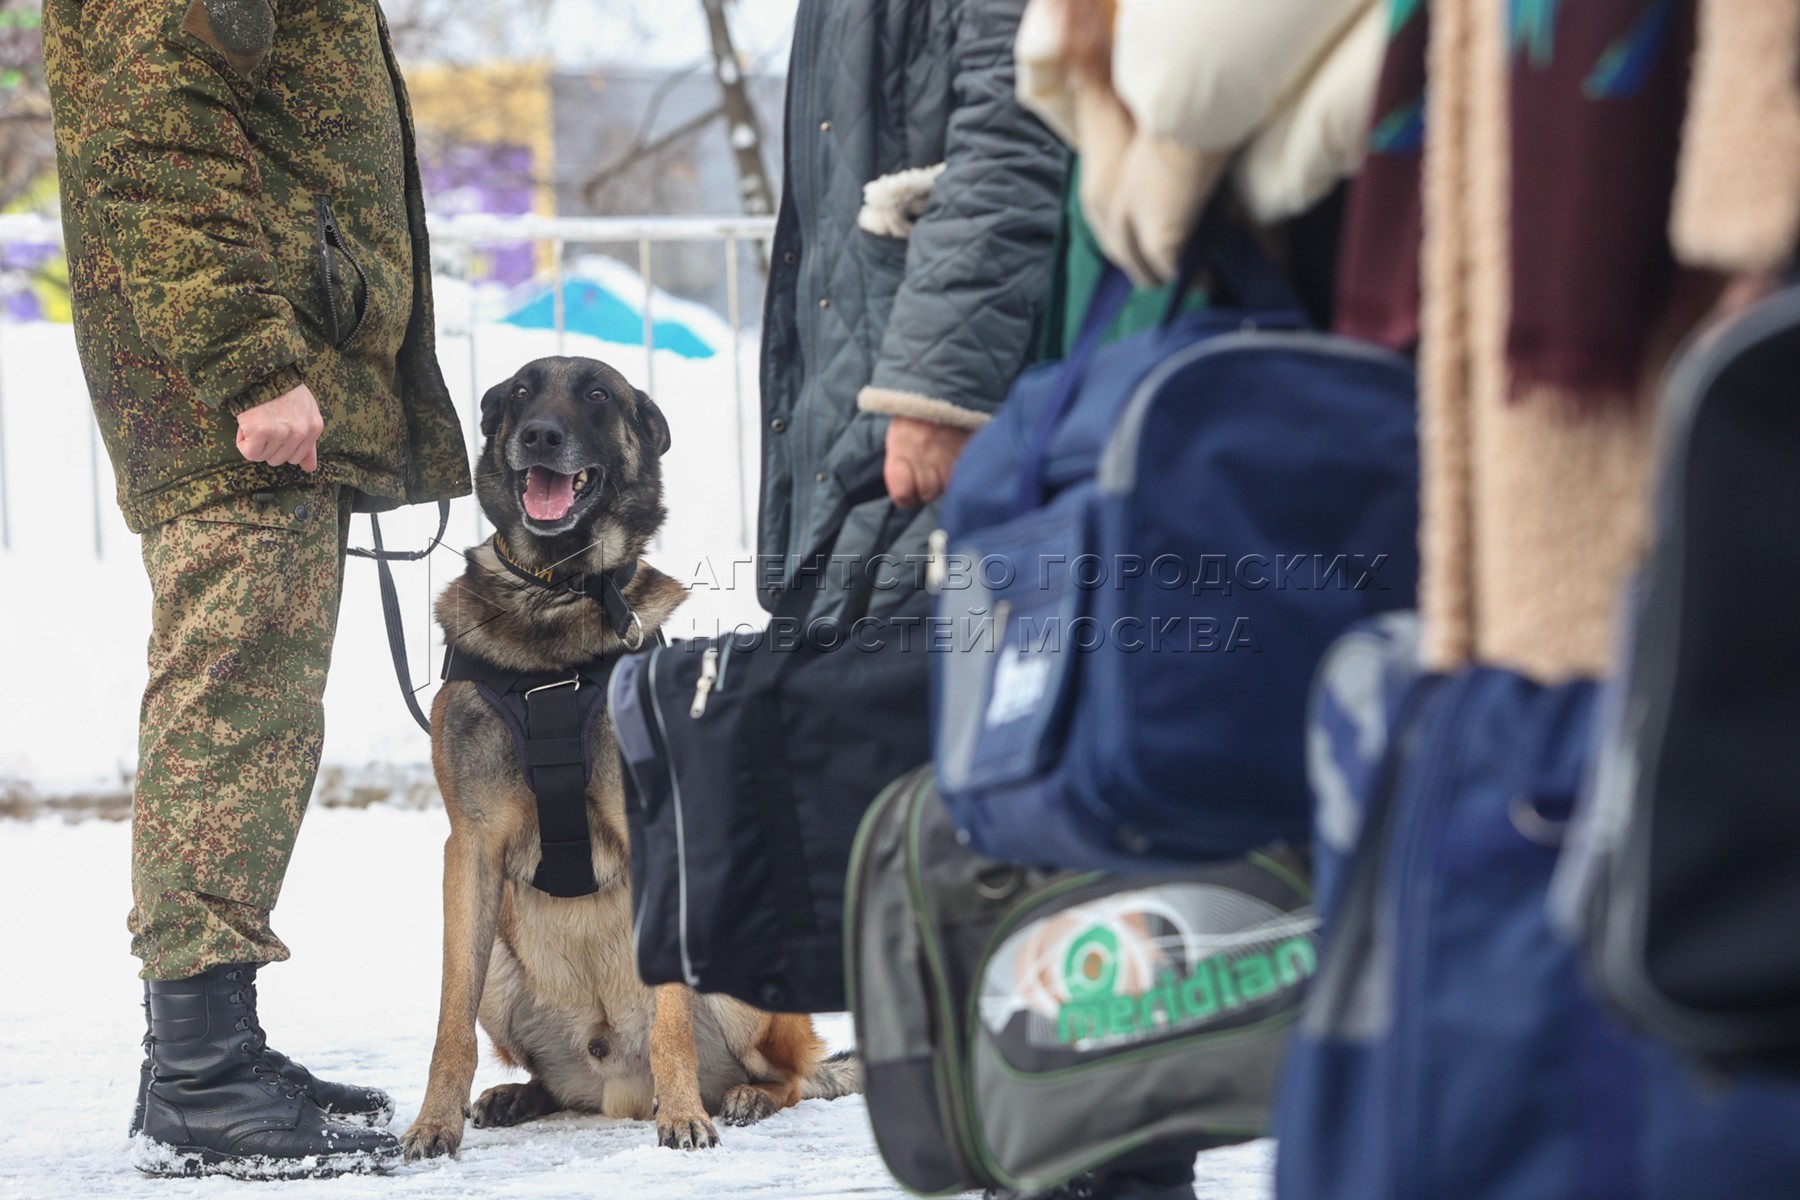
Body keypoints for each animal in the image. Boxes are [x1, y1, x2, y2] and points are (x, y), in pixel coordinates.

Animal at [403, 359, 864, 1165]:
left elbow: (672, 1020)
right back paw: (516, 1095)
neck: (555, 602)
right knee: (549, 1077)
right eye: (520, 392)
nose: (538, 436)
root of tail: (615, 1081)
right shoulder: (472, 848)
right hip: (500, 970)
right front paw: (436, 1120)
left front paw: (682, 1116)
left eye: (595, 394)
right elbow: (448, 1019)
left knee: (794, 1074)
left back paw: (741, 1097)